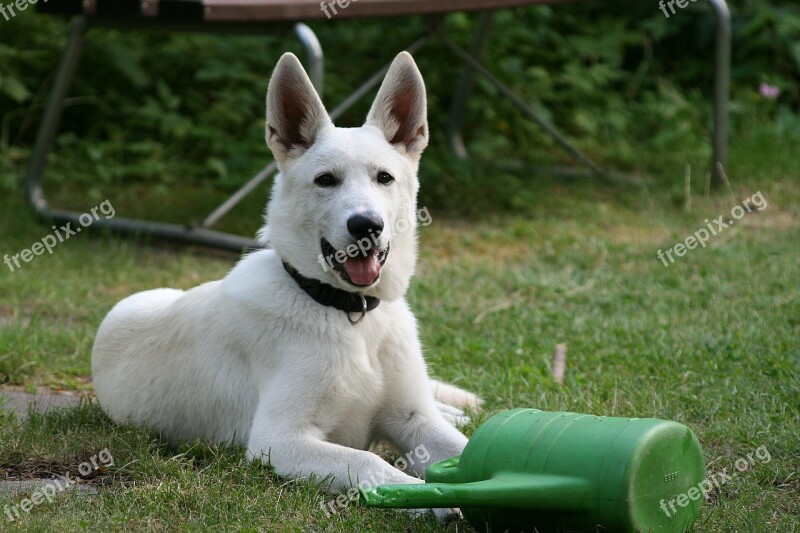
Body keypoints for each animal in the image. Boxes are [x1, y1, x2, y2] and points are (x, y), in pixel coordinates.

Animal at [94, 52, 482, 516]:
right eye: (326, 180)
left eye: (384, 178)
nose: (366, 226)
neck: (347, 313)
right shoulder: (278, 440)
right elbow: (369, 460)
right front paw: (424, 497)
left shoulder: (414, 418)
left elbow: (466, 446)